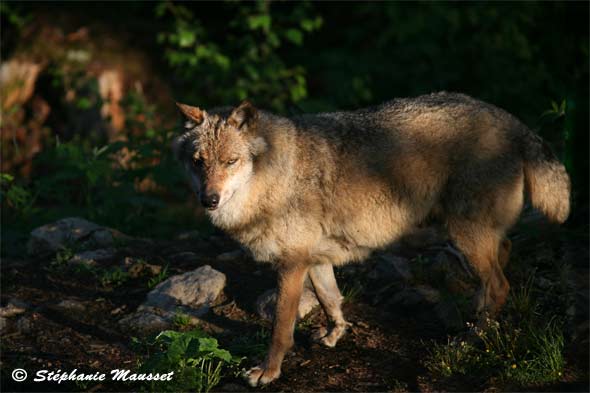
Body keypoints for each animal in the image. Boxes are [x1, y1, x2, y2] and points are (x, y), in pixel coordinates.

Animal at [173, 92, 572, 386]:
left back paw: (471, 339)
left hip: (464, 236)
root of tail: (511, 119)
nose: (209, 199)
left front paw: (268, 372)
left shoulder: (291, 265)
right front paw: (335, 335)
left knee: (501, 284)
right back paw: (476, 315)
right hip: (469, 239)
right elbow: (331, 300)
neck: (276, 177)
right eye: (198, 161)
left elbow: (280, 329)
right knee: (502, 259)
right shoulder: (314, 260)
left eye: (231, 161)